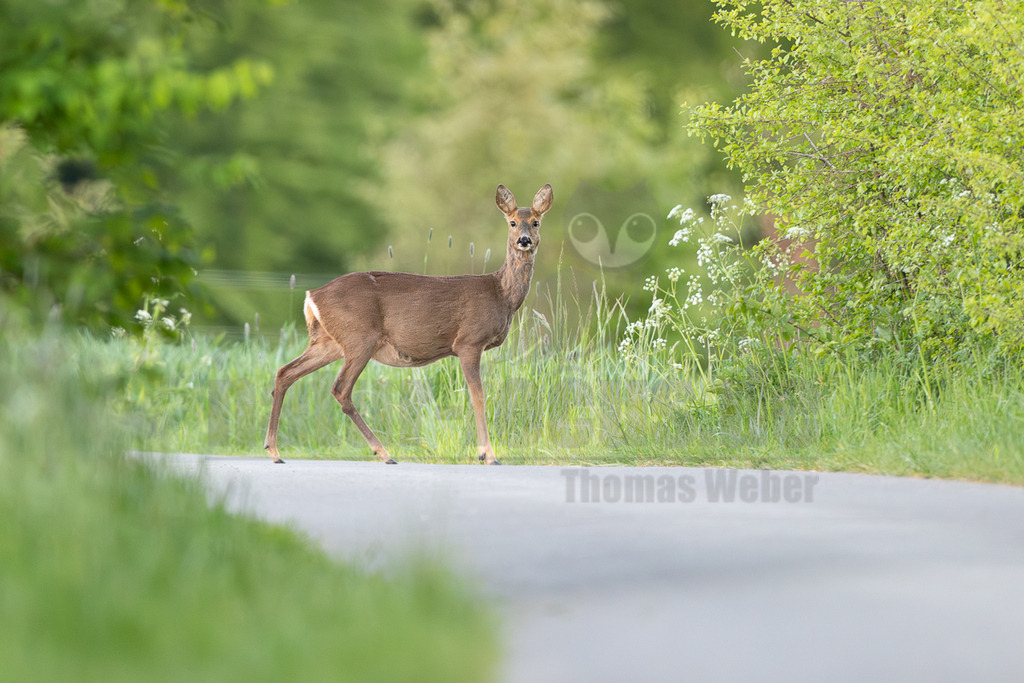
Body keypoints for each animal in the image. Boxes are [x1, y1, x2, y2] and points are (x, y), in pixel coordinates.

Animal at [263, 183, 553, 465]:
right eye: (512, 222)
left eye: (536, 222)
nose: (524, 240)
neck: (501, 293)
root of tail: (311, 296)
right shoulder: (469, 341)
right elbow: (478, 396)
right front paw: (488, 455)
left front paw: (486, 453)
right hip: (360, 338)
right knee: (340, 389)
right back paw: (384, 453)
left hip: (328, 341)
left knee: (285, 372)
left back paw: (274, 451)